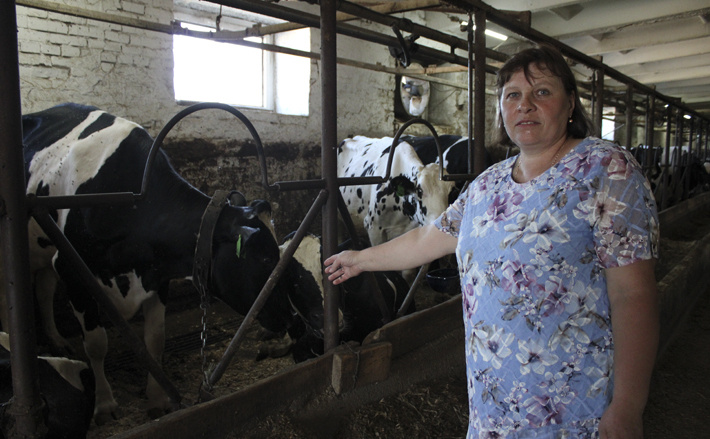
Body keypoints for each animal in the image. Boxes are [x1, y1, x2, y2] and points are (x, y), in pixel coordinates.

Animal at [20, 104, 322, 426]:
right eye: (266, 258)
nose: (291, 318)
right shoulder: (72, 270)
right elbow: (96, 344)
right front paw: (104, 404)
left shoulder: (157, 274)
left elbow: (155, 340)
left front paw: (158, 399)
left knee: (43, 287)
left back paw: (56, 339)